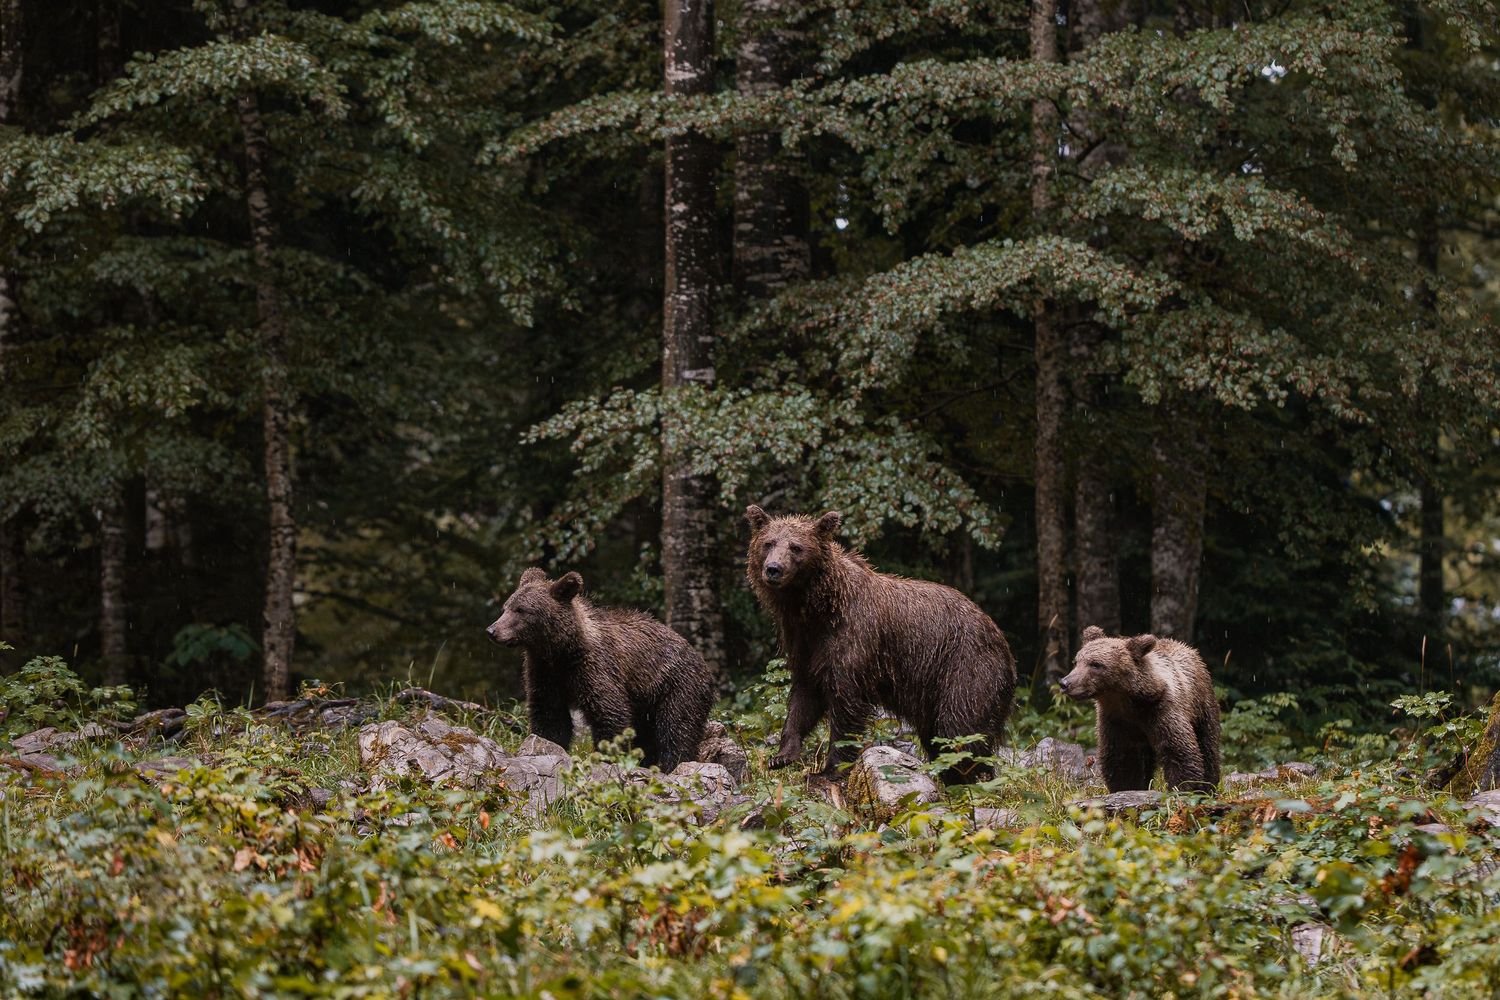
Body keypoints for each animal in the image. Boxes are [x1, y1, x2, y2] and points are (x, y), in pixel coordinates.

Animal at [486, 567, 714, 772]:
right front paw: (546, 744)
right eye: (506, 607)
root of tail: (702, 661)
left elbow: (609, 712)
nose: (492, 630)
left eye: (521, 610)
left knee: (677, 728)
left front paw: (606, 757)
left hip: (676, 686)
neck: (561, 651)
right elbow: (549, 715)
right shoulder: (544, 673)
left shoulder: (594, 669)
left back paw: (673, 764)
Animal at [745, 505, 1017, 784]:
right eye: (768, 543)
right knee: (938, 736)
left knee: (960, 730)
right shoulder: (805, 644)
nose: (774, 568)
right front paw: (782, 755)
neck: (818, 609)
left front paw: (828, 770)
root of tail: (1002, 640)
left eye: (796, 547)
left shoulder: (855, 639)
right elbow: (804, 697)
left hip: (967, 669)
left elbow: (846, 705)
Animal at [1058, 626, 1221, 793]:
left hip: (1202, 707)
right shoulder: (1115, 722)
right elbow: (1123, 760)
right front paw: (1128, 788)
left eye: (1096, 664)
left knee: (1208, 746)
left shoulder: (1162, 712)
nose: (1065, 683)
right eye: (1076, 662)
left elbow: (1179, 752)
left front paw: (1184, 788)